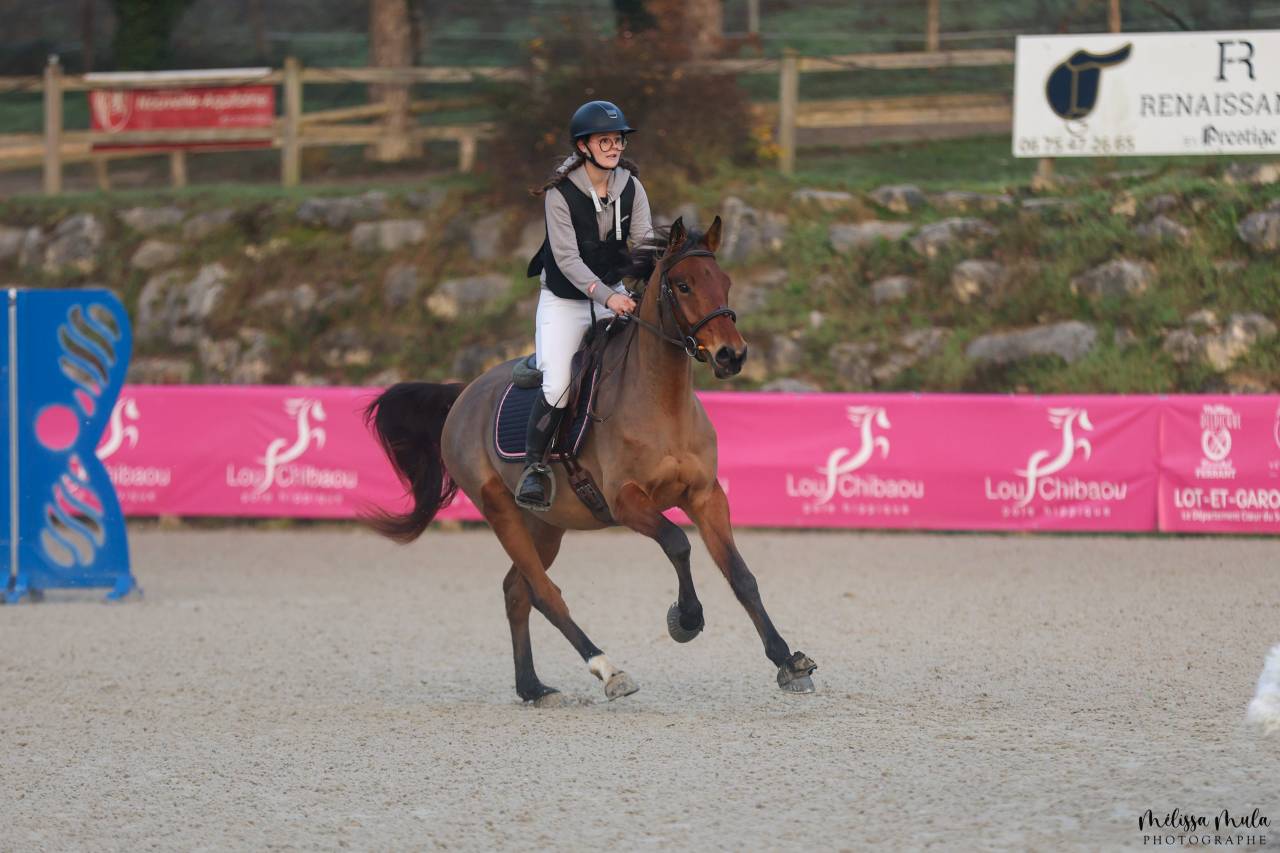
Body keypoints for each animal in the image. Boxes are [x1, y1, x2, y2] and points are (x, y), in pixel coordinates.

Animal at [363, 216, 817, 705]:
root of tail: (464, 394)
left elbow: (741, 575)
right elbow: (677, 542)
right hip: (501, 511)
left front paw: (787, 660)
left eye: (725, 282)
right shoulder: (627, 501)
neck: (663, 403)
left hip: (546, 525)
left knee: (517, 590)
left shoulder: (705, 496)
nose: (731, 355)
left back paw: (533, 687)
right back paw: (607, 668)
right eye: (683, 285)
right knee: (545, 593)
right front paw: (686, 618)